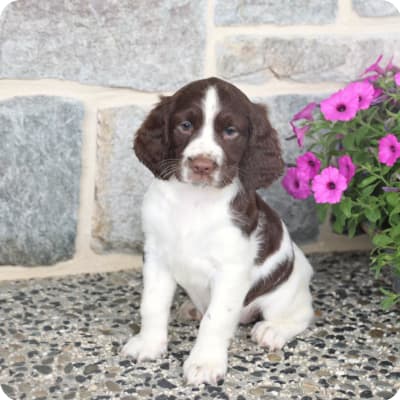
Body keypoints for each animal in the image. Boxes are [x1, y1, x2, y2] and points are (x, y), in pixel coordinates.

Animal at [123, 77, 314, 384]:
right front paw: (149, 344)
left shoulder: (231, 270)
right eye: (185, 125)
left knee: (301, 313)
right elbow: (152, 304)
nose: (202, 165)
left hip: (284, 293)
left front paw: (205, 363)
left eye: (230, 131)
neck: (194, 201)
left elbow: (217, 319)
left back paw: (273, 330)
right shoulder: (156, 256)